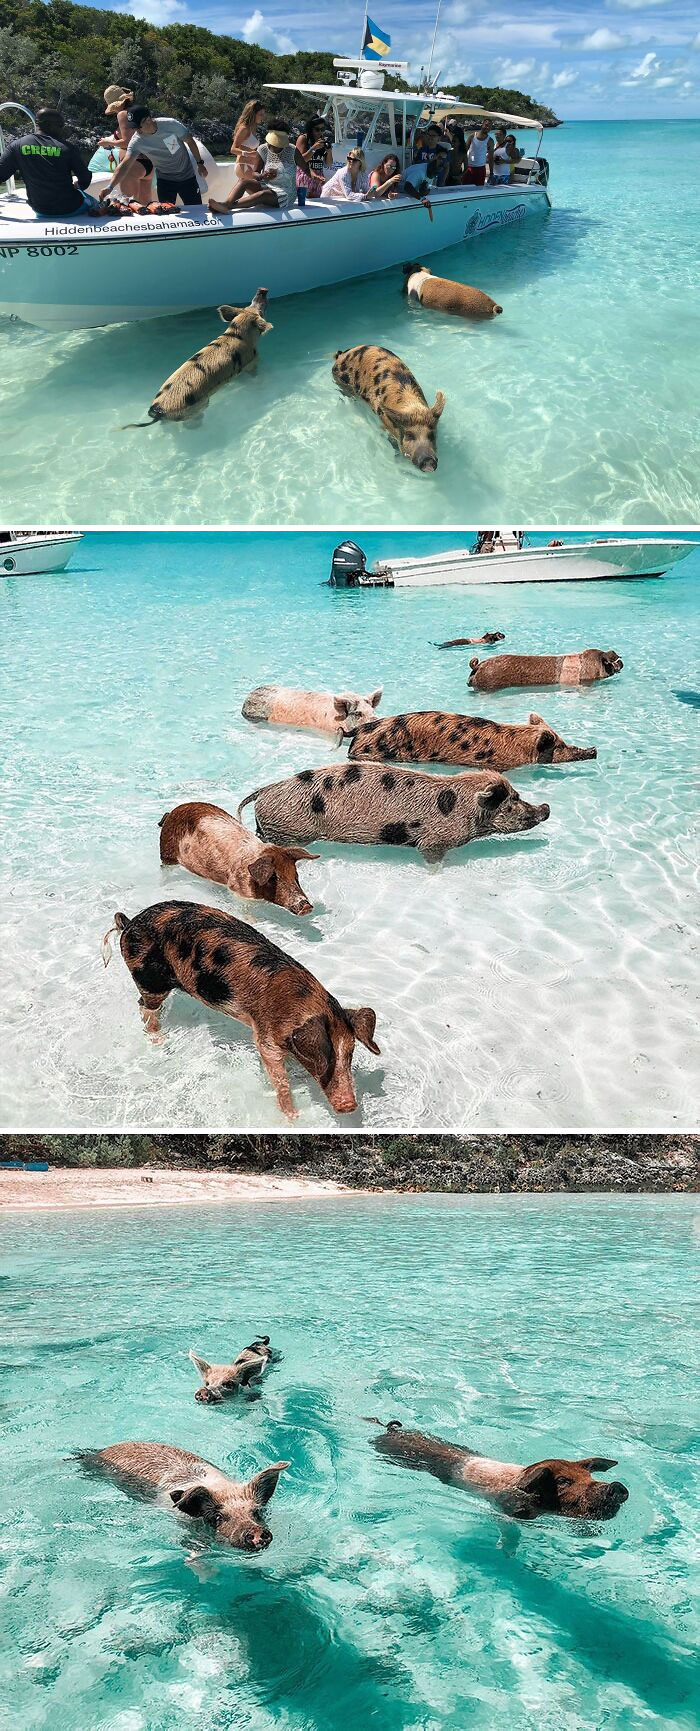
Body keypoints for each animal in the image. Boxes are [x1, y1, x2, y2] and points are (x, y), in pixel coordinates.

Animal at [101, 900, 380, 1118]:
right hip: (149, 979)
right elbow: (278, 1077)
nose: (349, 1106)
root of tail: (129, 923)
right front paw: (293, 1116)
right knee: (146, 1008)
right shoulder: (265, 1037)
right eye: (324, 1056)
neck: (299, 1003)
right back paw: (160, 1042)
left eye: (351, 1053)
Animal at [124, 288, 272, 426]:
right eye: (260, 312)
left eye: (249, 306)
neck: (237, 333)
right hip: (195, 410)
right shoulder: (250, 362)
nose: (262, 290)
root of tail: (159, 411)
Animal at [159, 801, 317, 916]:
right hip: (166, 851)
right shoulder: (237, 890)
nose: (306, 906)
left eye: (295, 876)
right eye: (274, 877)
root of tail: (171, 813)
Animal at [237, 762, 549, 865]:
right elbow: (432, 857)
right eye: (513, 800)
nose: (546, 808)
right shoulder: (434, 841)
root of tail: (264, 790)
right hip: (289, 830)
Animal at [332, 344, 444, 473]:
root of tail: (342, 354)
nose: (428, 462)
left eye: (431, 435)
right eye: (409, 435)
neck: (410, 405)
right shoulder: (385, 424)